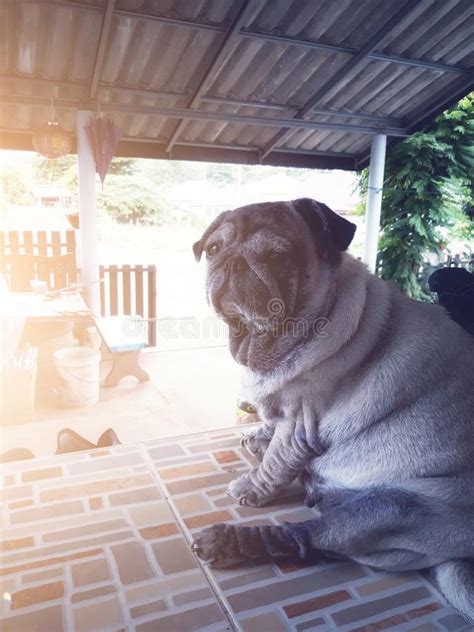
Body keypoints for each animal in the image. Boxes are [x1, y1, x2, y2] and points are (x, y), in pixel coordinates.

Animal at [191, 199, 472, 624]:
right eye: (213, 249)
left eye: (277, 257)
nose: (233, 261)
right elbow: (269, 426)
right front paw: (257, 436)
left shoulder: (298, 422)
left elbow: (275, 463)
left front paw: (253, 486)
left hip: (396, 507)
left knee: (304, 539)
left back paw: (226, 541)